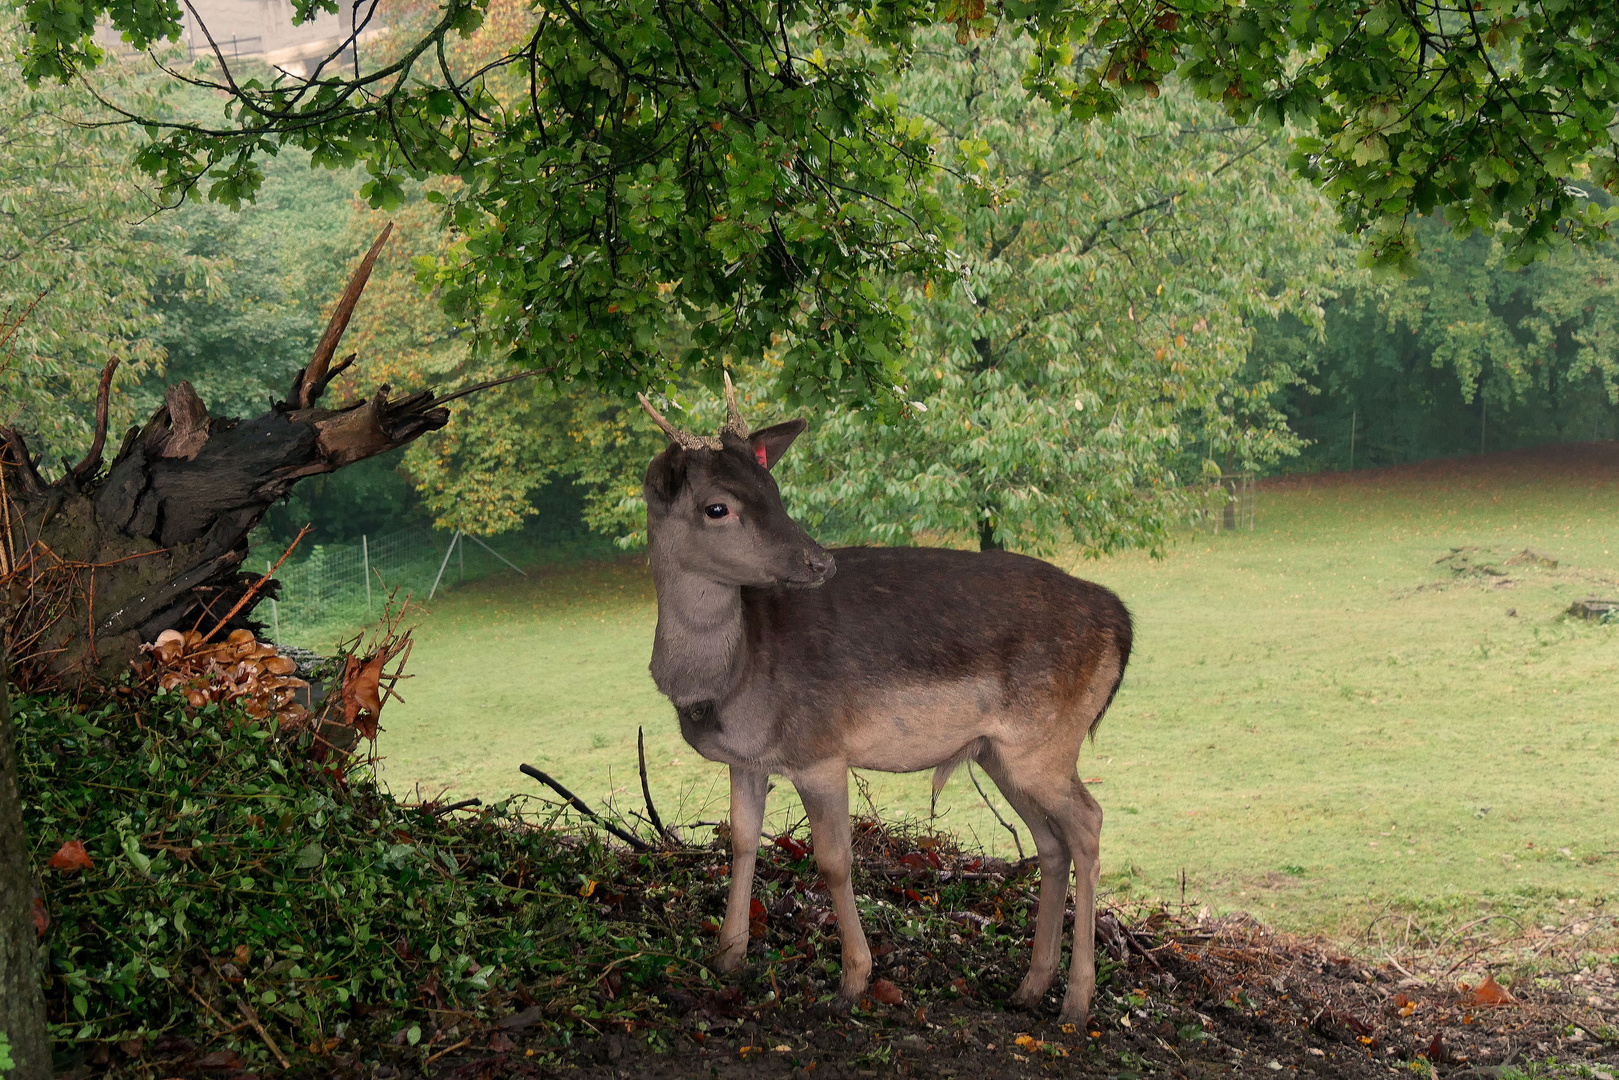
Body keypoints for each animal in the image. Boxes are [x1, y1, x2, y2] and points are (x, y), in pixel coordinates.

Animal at [637, 378, 1133, 1023]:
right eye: (717, 506)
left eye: (774, 489)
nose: (819, 560)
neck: (729, 679)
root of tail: (1121, 623)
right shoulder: (748, 760)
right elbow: (742, 843)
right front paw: (727, 957)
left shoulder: (819, 748)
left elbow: (833, 859)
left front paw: (853, 979)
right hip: (998, 752)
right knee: (1050, 843)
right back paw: (1030, 986)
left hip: (1046, 739)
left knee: (1089, 824)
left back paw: (1076, 1000)